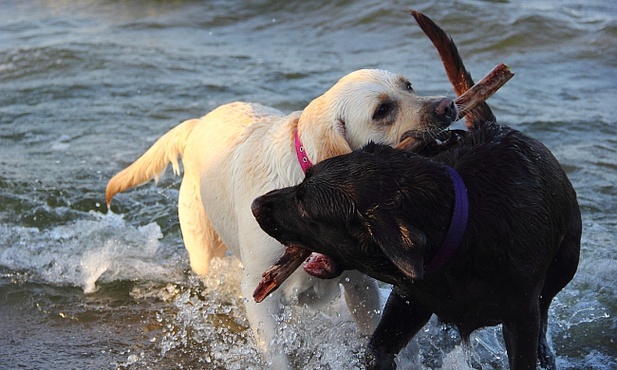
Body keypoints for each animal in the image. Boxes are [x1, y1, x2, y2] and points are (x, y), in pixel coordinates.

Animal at [250, 120, 576, 368]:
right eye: (304, 178)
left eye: (305, 206)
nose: (255, 205)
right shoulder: (410, 300)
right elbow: (377, 349)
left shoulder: (521, 316)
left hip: (562, 269)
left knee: (545, 313)